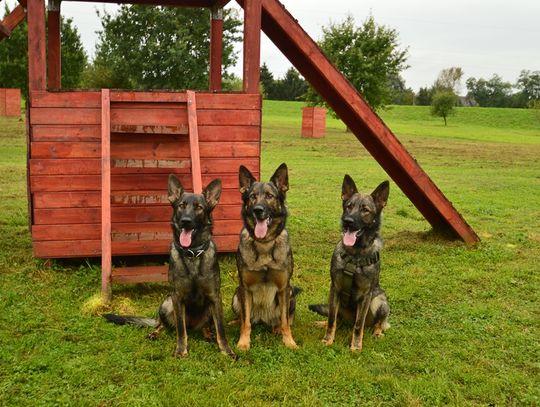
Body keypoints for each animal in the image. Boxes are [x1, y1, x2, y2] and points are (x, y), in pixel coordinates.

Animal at [104, 175, 235, 360]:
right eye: (181, 205)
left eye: (199, 207)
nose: (185, 221)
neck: (192, 254)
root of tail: (193, 325)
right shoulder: (177, 297)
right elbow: (181, 329)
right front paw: (181, 350)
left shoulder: (215, 297)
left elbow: (221, 330)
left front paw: (227, 351)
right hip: (167, 303)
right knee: (163, 325)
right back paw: (155, 333)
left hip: (209, 309)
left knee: (206, 326)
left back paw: (208, 334)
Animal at [232, 164, 300, 352]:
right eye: (252, 197)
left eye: (270, 196)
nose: (258, 210)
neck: (264, 244)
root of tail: (263, 319)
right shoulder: (245, 288)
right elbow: (246, 322)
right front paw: (243, 341)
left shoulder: (284, 288)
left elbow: (285, 321)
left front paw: (289, 341)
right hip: (236, 295)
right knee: (244, 318)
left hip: (291, 295)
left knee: (285, 319)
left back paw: (277, 328)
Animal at [310, 177, 390, 352]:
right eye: (348, 206)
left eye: (365, 210)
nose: (347, 221)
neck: (355, 255)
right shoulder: (335, 288)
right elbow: (332, 319)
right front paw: (328, 340)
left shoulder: (366, 296)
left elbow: (359, 325)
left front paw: (356, 346)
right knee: (336, 318)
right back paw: (322, 323)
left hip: (379, 300)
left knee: (378, 323)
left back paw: (377, 332)